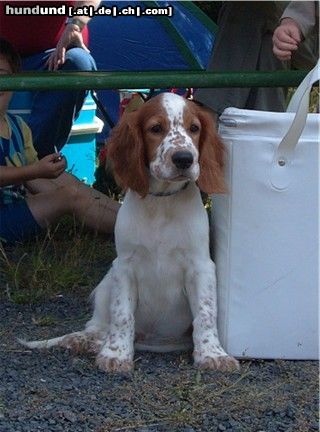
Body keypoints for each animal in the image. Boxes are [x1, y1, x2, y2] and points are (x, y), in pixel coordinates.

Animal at [20, 93, 239, 372]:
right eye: (155, 128)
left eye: (194, 128)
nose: (184, 159)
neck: (161, 203)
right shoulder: (124, 266)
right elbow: (122, 314)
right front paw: (116, 355)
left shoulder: (200, 266)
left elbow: (206, 312)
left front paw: (213, 354)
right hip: (106, 281)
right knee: (97, 325)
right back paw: (87, 341)